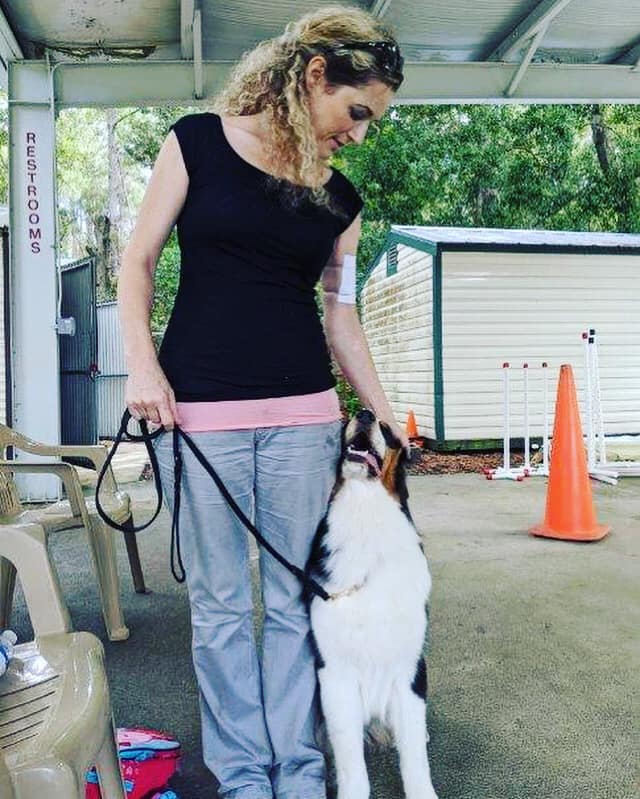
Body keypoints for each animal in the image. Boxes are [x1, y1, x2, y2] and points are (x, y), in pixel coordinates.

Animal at [306, 412, 438, 799]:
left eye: (388, 428)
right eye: (344, 420)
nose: (363, 414)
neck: (364, 512)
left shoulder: (409, 667)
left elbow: (414, 755)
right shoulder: (335, 674)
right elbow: (351, 760)